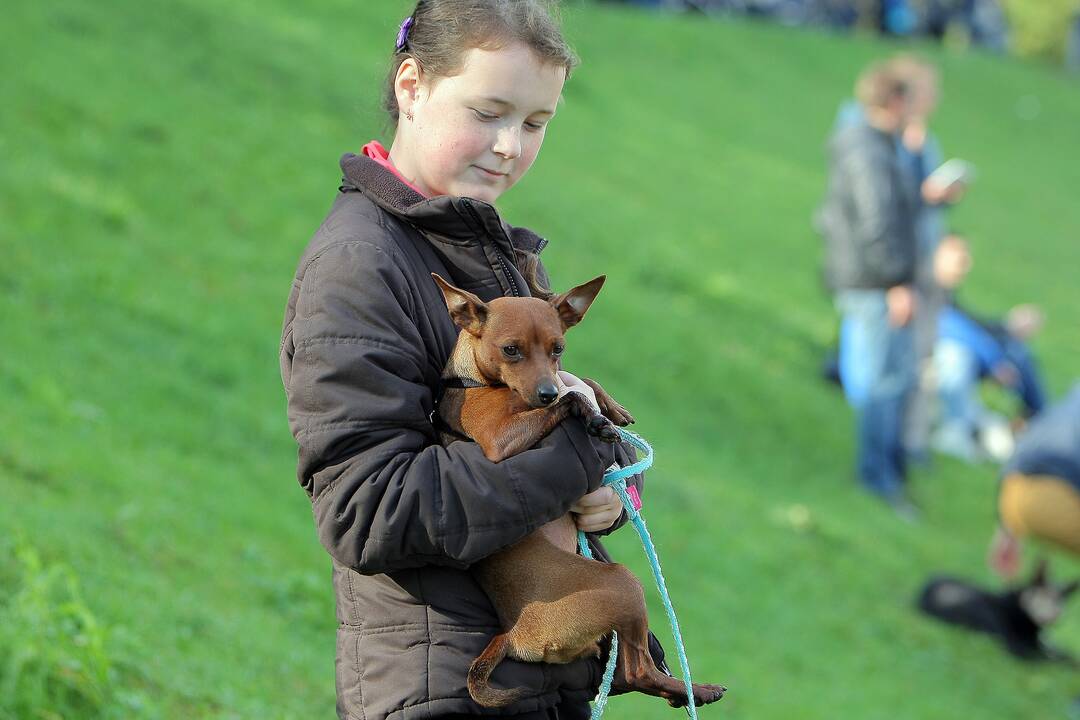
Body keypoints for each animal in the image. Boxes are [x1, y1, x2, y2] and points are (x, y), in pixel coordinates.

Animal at [429, 274, 725, 708]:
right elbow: (571, 397)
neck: (476, 380)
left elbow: (580, 382)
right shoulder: (499, 441)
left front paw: (611, 408)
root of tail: (513, 635)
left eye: (558, 349)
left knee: (627, 674)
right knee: (636, 672)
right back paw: (693, 690)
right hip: (623, 586)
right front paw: (593, 417)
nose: (545, 391)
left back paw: (692, 692)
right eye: (511, 350)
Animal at [915, 561, 1075, 660]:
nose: (1054, 616)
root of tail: (922, 600)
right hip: (984, 612)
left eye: (1059, 603)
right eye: (1042, 599)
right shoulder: (1022, 644)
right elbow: (1053, 656)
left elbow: (1059, 651)